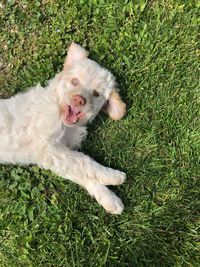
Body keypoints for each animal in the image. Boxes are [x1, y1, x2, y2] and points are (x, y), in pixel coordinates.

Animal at [0, 43, 126, 215]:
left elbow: (79, 172)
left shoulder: (55, 156)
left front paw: (110, 199)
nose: (79, 100)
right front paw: (112, 176)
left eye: (96, 93)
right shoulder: (47, 146)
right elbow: (84, 161)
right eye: (74, 81)